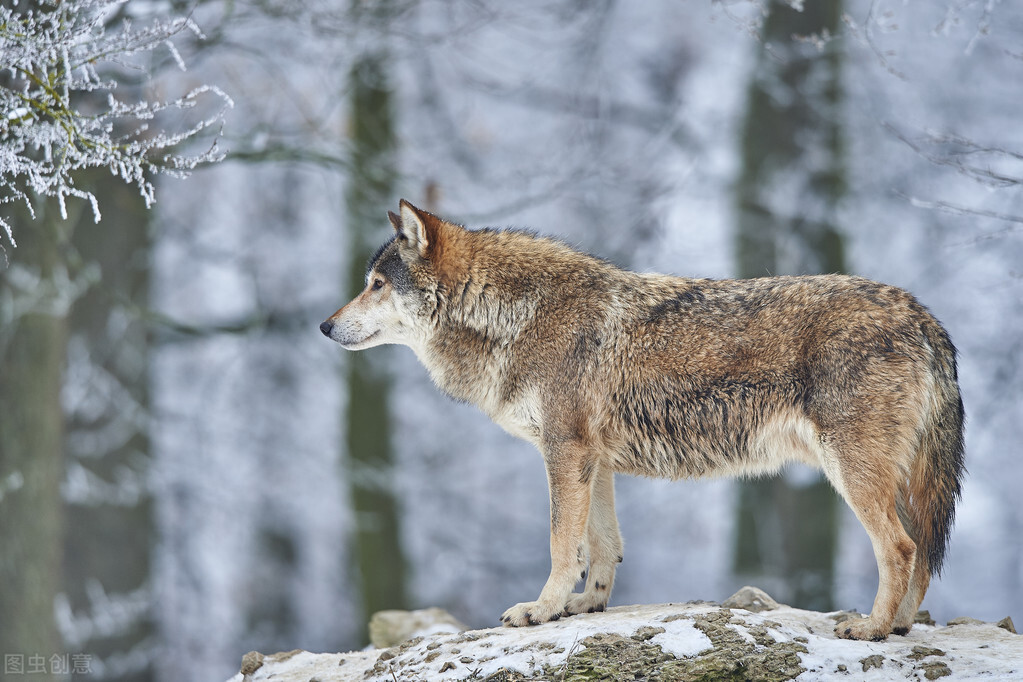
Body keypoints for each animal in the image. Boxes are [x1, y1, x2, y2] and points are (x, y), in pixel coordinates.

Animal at [319, 200, 965, 642]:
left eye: (376, 284)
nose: (324, 326)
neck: (515, 317)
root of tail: (924, 315)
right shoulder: (595, 460)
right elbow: (602, 546)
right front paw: (586, 606)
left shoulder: (566, 451)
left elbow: (562, 544)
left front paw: (540, 609)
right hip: (898, 478)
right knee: (922, 550)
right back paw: (901, 626)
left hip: (852, 472)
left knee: (901, 548)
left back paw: (872, 629)